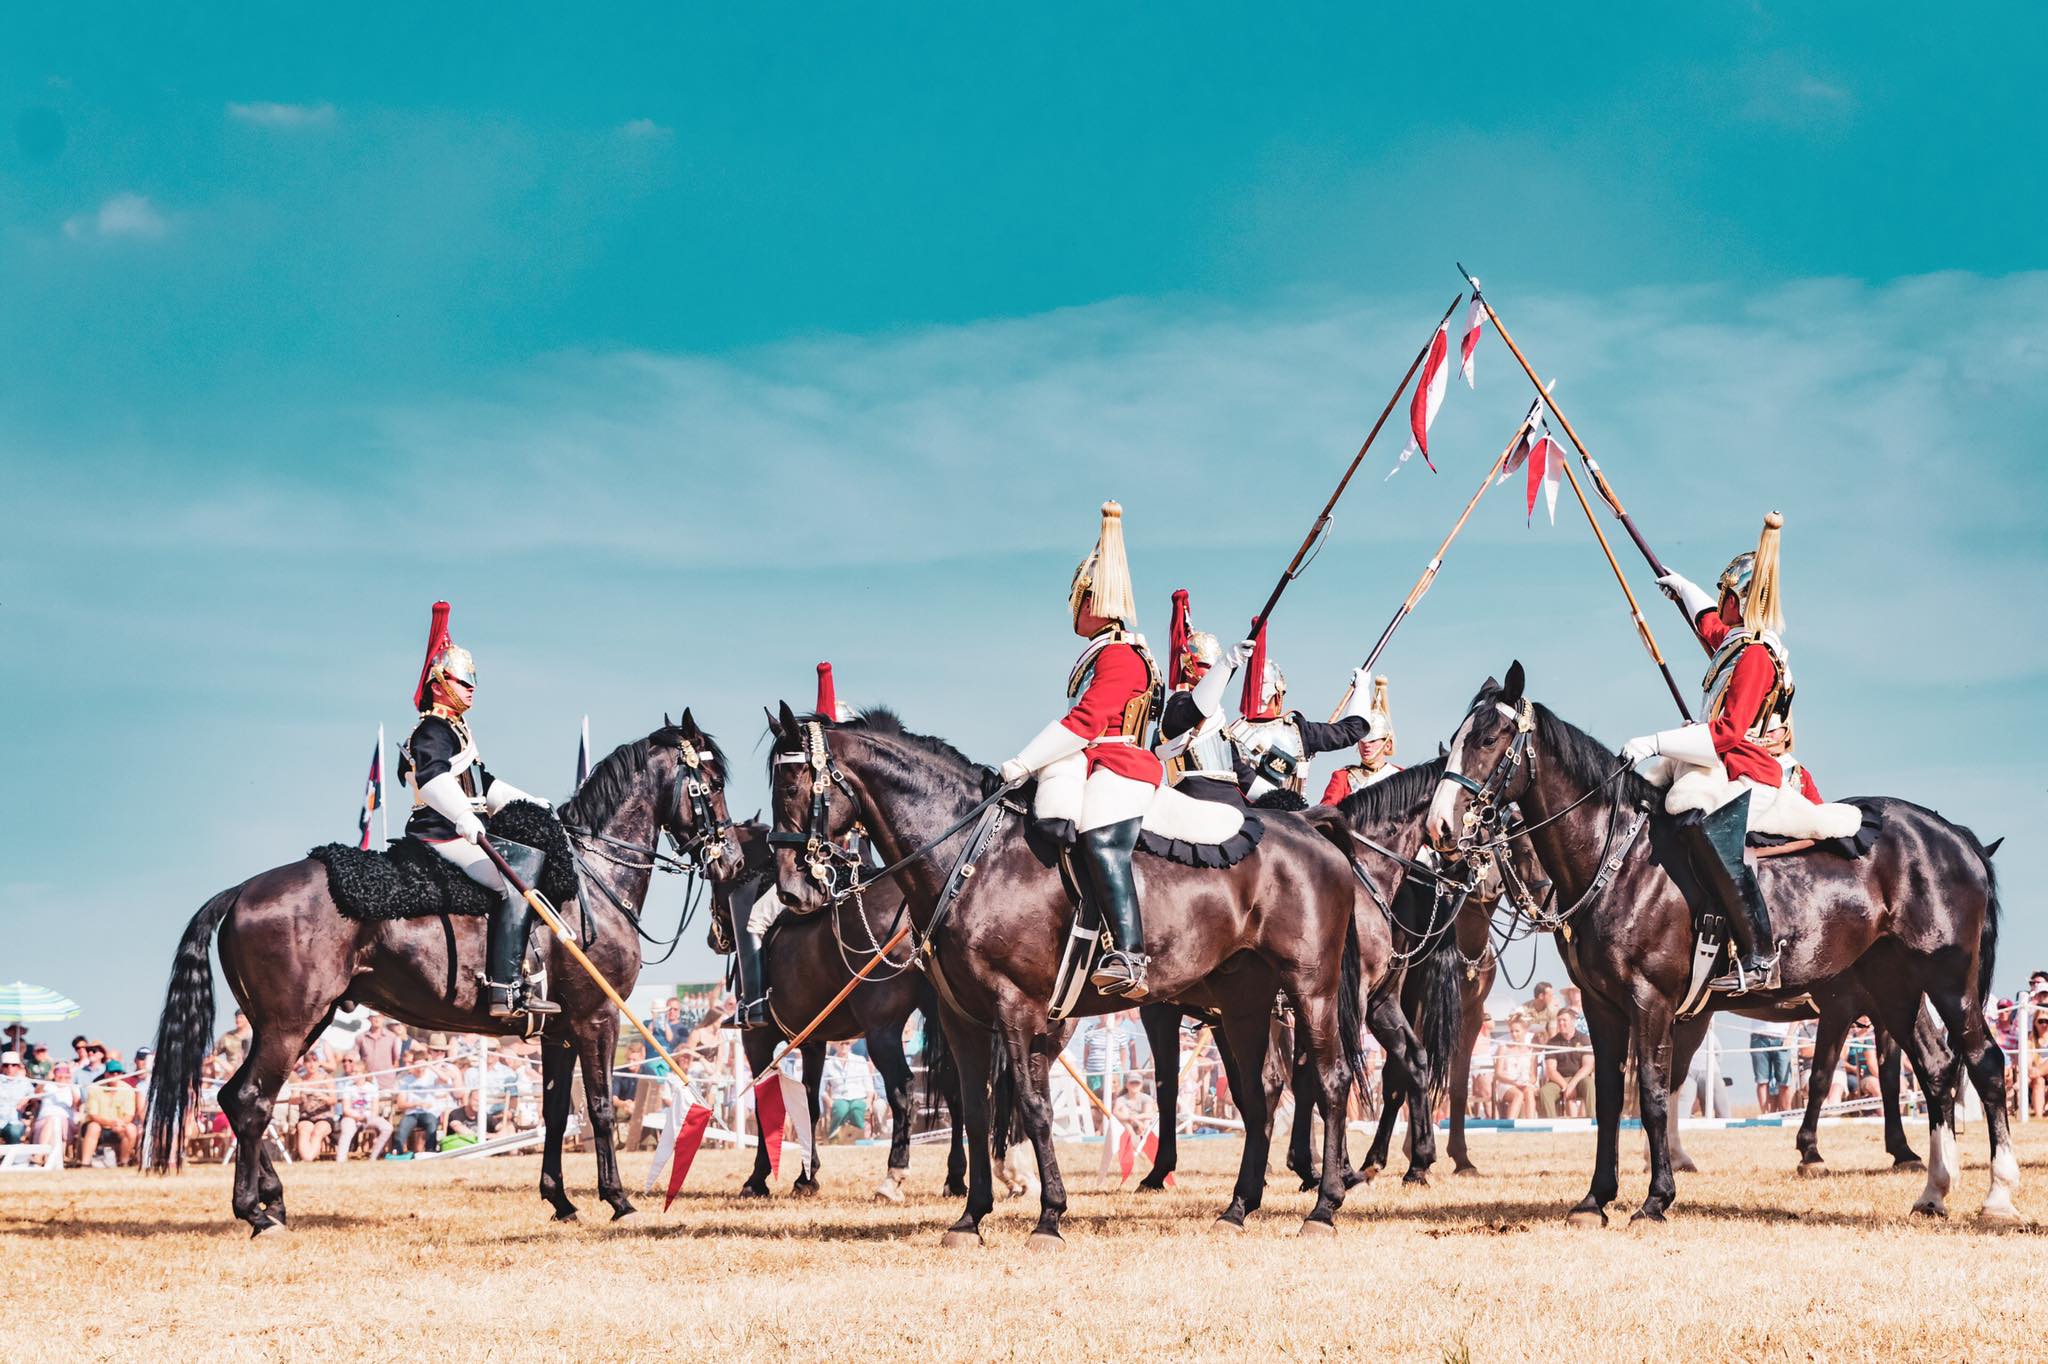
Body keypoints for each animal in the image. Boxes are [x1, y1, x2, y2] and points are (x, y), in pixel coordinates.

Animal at [149, 712, 745, 1228]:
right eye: (712, 782)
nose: (733, 861)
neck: (592, 879)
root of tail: (242, 890)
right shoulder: (597, 1018)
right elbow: (598, 1108)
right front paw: (617, 1200)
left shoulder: (557, 1030)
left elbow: (556, 1113)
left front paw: (560, 1200)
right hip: (290, 1024)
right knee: (253, 1101)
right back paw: (255, 1213)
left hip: (297, 1024)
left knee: (238, 1099)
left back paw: (271, 1201)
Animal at [712, 819, 966, 1187]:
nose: (713, 938)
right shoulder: (812, 1043)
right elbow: (809, 1101)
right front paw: (807, 1176)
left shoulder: (756, 1040)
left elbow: (764, 1106)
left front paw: (758, 1177)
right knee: (956, 1086)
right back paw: (956, 1177)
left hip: (882, 1032)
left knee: (903, 1090)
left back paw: (895, 1171)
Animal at [761, 704, 1417, 1237]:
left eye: (793, 782)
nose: (792, 890)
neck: (973, 858)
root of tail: (1311, 827)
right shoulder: (961, 1017)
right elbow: (975, 1110)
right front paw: (971, 1217)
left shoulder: (1015, 1007)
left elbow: (1030, 1105)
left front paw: (1049, 1214)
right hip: (1243, 1004)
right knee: (1259, 1095)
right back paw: (1239, 1207)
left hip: (1312, 991)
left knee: (1329, 1081)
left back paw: (1324, 1204)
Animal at [1433, 667, 2007, 1220]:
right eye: (1456, 739)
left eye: (1488, 738)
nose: (1441, 828)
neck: (1619, 857)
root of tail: (1953, 835)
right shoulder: (1602, 1006)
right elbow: (1611, 1099)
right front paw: (1596, 1199)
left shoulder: (1652, 1001)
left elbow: (1654, 1093)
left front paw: (1655, 1199)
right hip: (1894, 988)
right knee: (1936, 1069)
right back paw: (1933, 1191)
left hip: (1947, 981)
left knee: (1984, 1061)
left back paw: (1997, 1196)